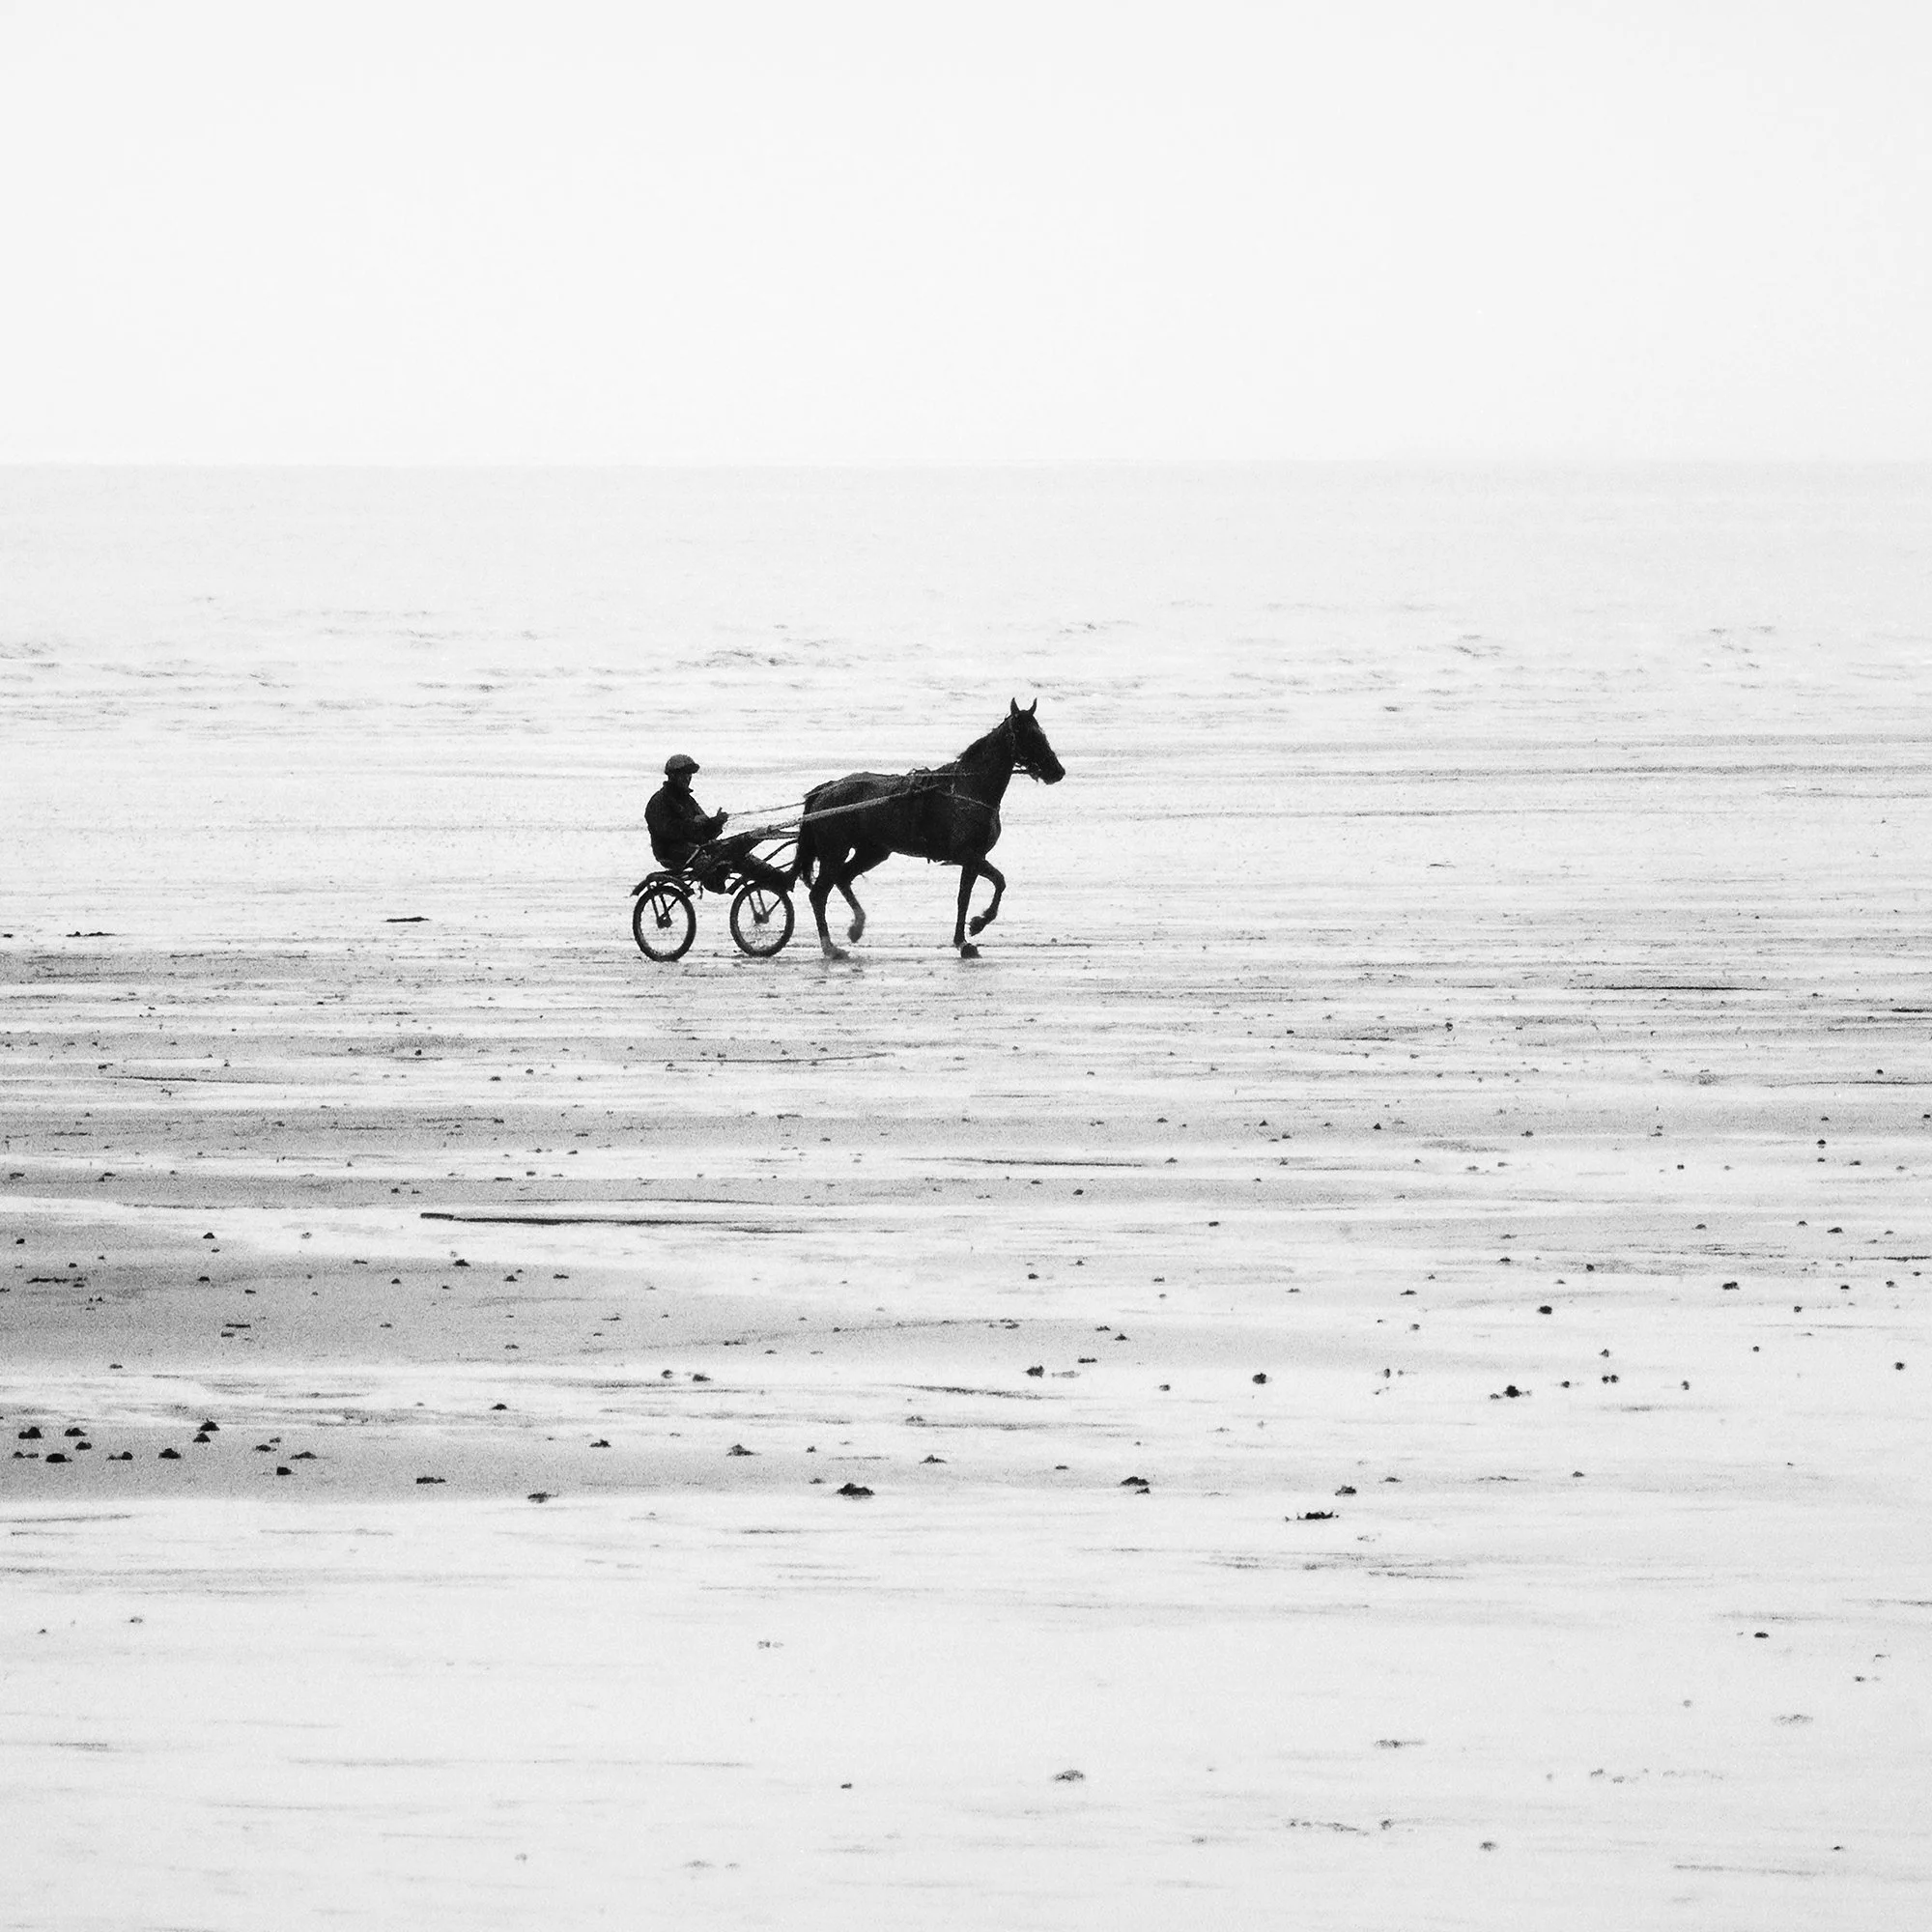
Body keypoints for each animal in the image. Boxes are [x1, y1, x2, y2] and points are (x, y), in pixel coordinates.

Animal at [792, 699, 1065, 959]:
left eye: (1041, 733)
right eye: (1028, 735)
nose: (1057, 771)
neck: (967, 789)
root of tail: (826, 790)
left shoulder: (974, 857)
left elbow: (964, 898)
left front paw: (962, 941)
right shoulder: (967, 854)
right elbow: (999, 881)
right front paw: (978, 923)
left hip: (872, 851)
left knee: (843, 878)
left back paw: (856, 926)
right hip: (834, 852)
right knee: (818, 894)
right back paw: (829, 947)